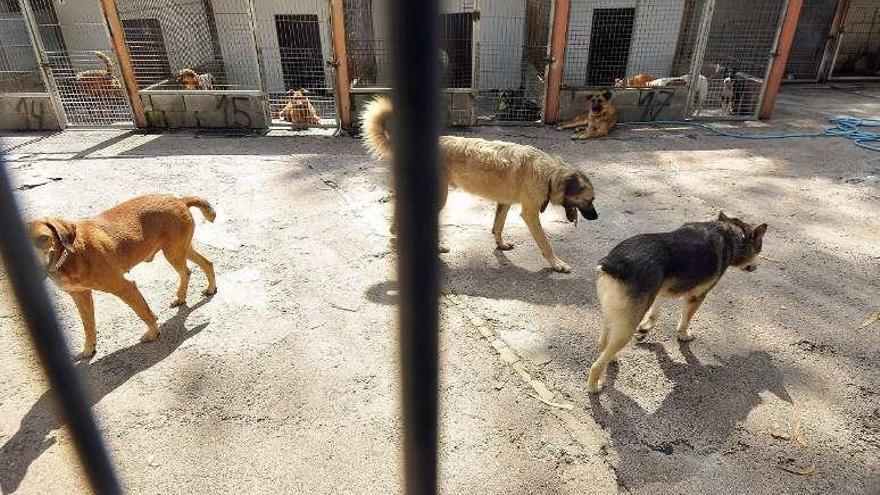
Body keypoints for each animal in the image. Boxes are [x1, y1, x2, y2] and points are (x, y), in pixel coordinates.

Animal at [28, 194, 220, 360]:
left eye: (42, 238)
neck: (70, 255)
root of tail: (179, 199)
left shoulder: (124, 286)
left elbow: (144, 313)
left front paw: (153, 333)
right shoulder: (80, 296)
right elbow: (88, 325)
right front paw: (89, 347)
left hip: (174, 252)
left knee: (189, 270)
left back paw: (207, 289)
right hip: (180, 250)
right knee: (204, 264)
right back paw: (190, 295)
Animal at [360, 96, 600, 276]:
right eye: (589, 200)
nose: (596, 217)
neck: (549, 174)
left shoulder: (504, 203)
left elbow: (497, 227)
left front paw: (501, 245)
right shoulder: (530, 214)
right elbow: (545, 242)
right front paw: (557, 264)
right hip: (438, 197)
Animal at [588, 211, 768, 394]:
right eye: (759, 249)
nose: (756, 267)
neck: (732, 233)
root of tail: (614, 263)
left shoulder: (659, 290)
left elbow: (654, 313)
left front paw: (646, 328)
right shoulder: (695, 297)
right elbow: (685, 319)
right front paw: (683, 335)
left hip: (613, 319)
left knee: (603, 345)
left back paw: (610, 358)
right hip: (626, 329)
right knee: (596, 365)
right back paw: (594, 386)